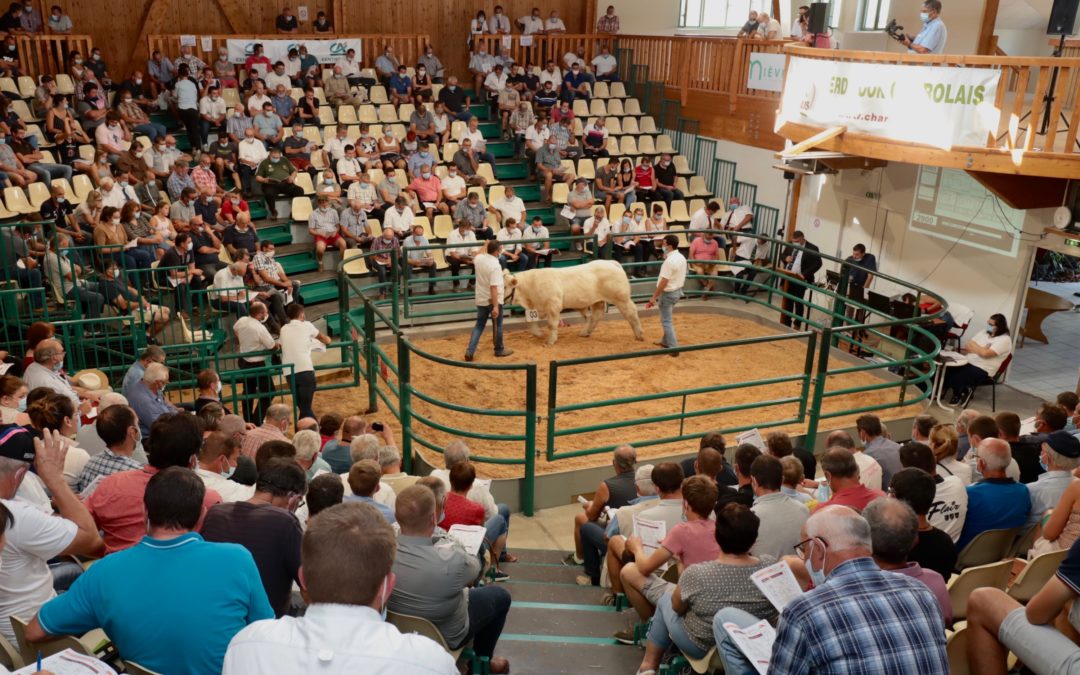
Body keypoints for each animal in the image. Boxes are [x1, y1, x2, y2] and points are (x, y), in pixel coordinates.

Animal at [503, 258, 643, 341]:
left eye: (504, 286)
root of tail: (611, 262)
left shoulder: (553, 306)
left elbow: (551, 324)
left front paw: (551, 340)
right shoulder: (536, 308)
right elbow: (531, 323)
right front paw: (538, 333)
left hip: (621, 298)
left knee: (631, 313)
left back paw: (639, 335)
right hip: (597, 301)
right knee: (595, 316)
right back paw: (585, 333)